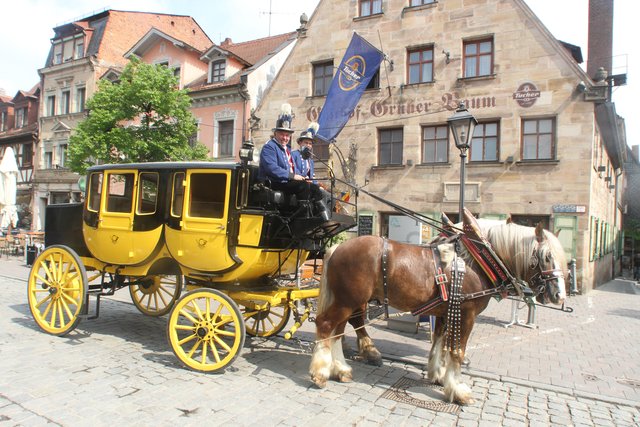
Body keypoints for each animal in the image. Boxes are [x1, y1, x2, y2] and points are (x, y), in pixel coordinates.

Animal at [308, 217, 564, 404]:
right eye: (547, 257)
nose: (559, 295)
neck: (476, 261)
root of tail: (338, 246)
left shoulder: (445, 312)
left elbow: (440, 344)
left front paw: (438, 375)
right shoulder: (467, 314)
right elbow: (457, 351)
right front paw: (458, 390)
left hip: (347, 301)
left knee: (339, 331)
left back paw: (341, 369)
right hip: (347, 300)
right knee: (326, 325)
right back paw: (320, 373)